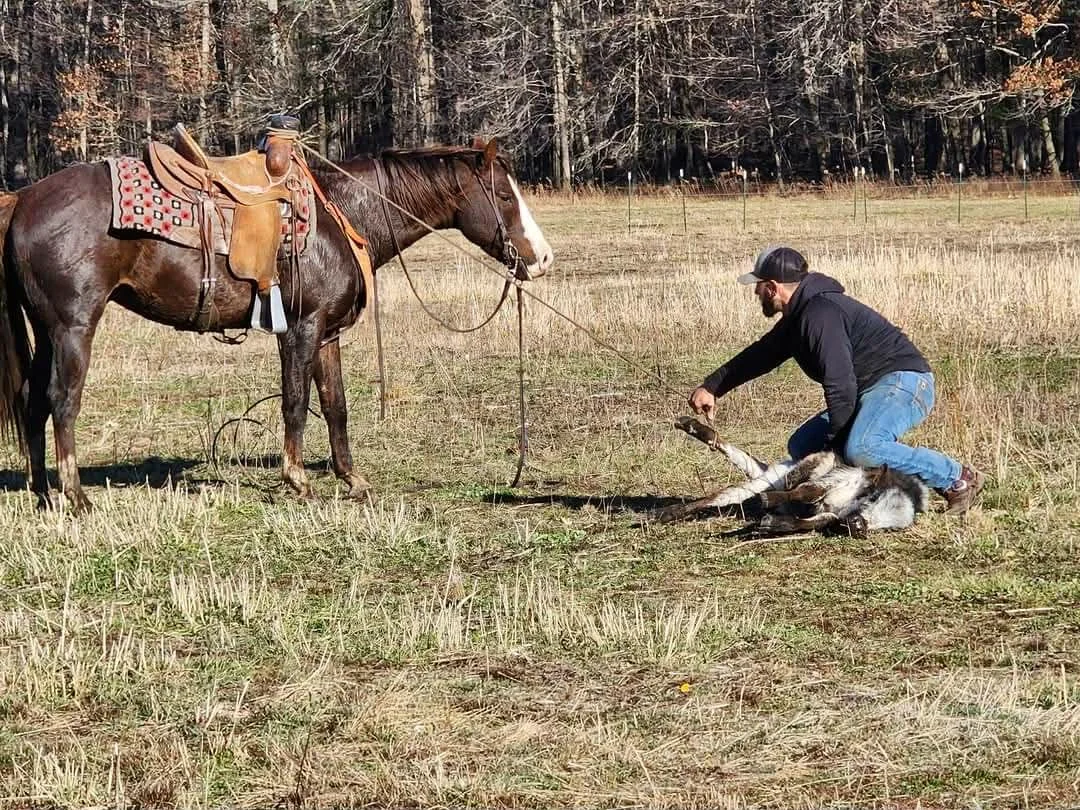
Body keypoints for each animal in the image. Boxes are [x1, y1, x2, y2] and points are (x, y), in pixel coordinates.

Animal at [0, 138, 554, 512]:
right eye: (505, 197)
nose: (543, 258)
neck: (340, 214)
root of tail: (24, 198)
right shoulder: (301, 331)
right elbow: (295, 403)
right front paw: (298, 480)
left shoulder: (328, 334)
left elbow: (335, 406)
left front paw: (352, 480)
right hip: (73, 327)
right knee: (61, 401)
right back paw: (76, 497)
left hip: (47, 331)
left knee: (31, 400)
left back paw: (44, 493)